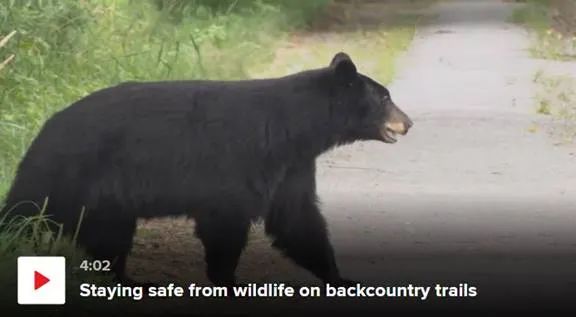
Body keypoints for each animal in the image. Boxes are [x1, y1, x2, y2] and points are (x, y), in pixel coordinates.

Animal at [2, 52, 412, 286]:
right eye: (385, 97)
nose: (407, 123)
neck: (293, 129)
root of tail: (45, 129)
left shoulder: (292, 166)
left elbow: (296, 219)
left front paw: (340, 276)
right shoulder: (241, 159)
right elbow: (225, 223)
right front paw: (227, 281)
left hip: (104, 202)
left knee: (108, 242)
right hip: (66, 174)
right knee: (24, 212)